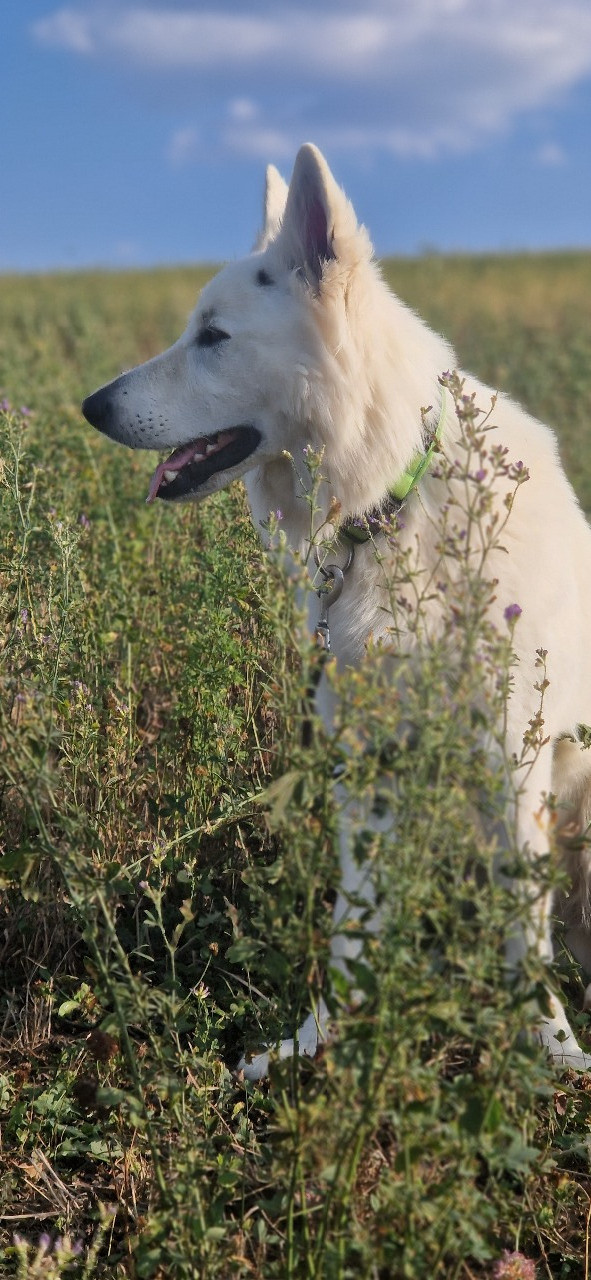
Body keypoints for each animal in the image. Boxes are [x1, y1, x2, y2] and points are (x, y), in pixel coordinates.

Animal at [82, 143, 591, 1079]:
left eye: (214, 338)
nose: (91, 407)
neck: (389, 502)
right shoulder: (365, 771)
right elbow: (353, 924)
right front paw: (321, 1040)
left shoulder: (512, 762)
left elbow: (522, 933)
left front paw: (549, 1048)